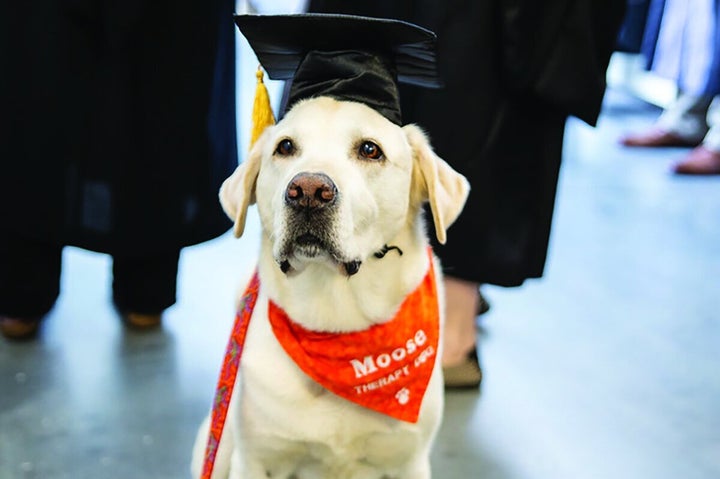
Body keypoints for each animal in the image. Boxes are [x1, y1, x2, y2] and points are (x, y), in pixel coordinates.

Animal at [191, 96, 470, 479]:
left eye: (370, 149)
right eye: (285, 147)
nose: (308, 191)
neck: (337, 324)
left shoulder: (409, 462)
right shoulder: (255, 460)